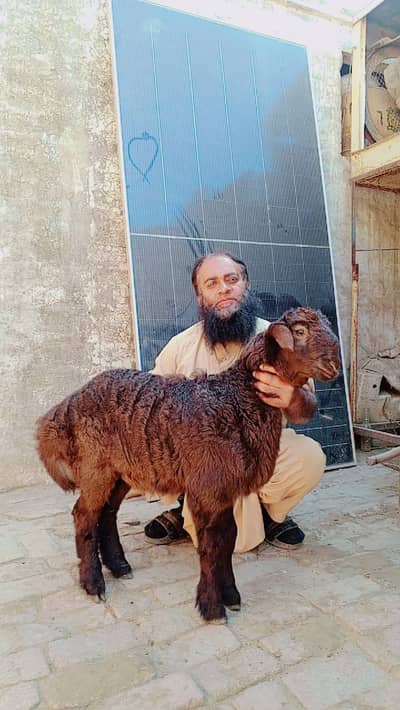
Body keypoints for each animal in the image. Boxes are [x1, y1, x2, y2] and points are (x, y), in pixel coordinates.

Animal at [36, 307, 339, 623]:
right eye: (300, 332)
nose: (334, 364)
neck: (238, 400)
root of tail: (65, 407)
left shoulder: (224, 491)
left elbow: (227, 541)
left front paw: (231, 596)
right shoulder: (207, 488)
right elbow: (210, 546)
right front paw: (212, 607)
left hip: (122, 470)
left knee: (107, 514)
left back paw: (119, 566)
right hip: (96, 465)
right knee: (84, 515)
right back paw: (93, 583)